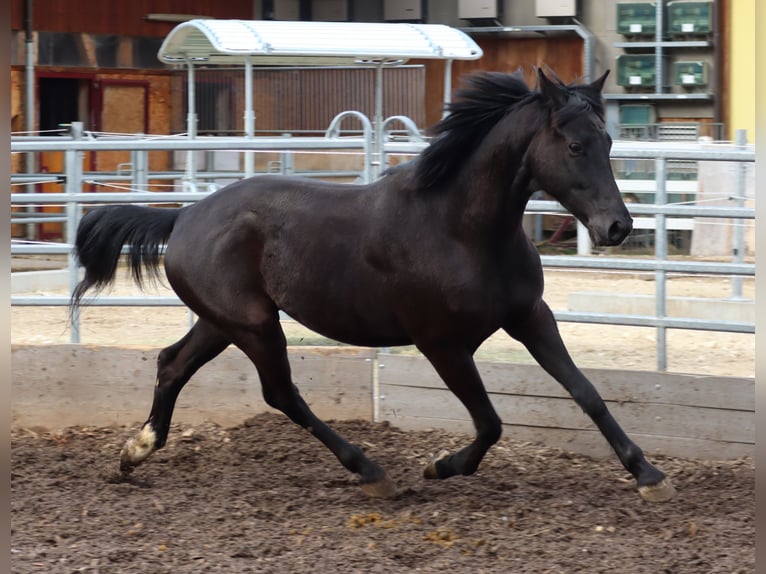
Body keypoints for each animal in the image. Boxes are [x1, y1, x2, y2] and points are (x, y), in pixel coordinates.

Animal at [69, 70, 676, 504]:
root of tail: (185, 215)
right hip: (256, 327)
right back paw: (372, 471)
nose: (618, 227)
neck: (462, 228)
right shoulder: (441, 343)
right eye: (574, 146)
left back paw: (135, 451)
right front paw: (440, 466)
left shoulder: (530, 316)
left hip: (224, 322)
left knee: (172, 364)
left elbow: (586, 392)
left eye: (608, 141)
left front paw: (649, 474)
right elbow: (490, 422)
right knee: (280, 394)